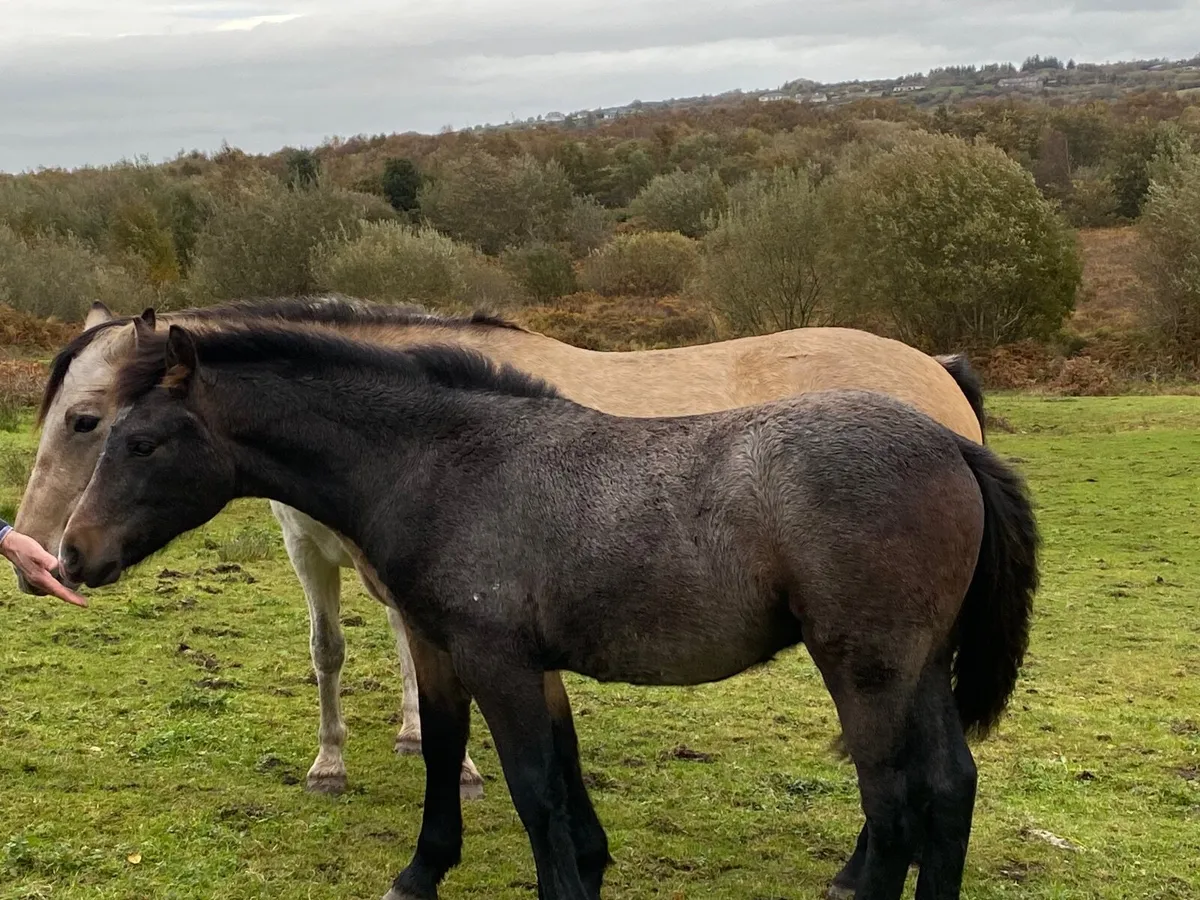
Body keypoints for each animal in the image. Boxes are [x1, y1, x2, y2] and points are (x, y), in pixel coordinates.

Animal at [60, 322, 1037, 900]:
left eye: (140, 441)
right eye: (101, 429)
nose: (72, 555)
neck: (445, 463)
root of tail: (951, 442)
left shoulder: (494, 659)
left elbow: (531, 787)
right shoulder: (473, 655)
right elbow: (511, 767)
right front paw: (433, 871)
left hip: (866, 669)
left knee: (895, 802)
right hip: (918, 667)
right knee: (949, 784)